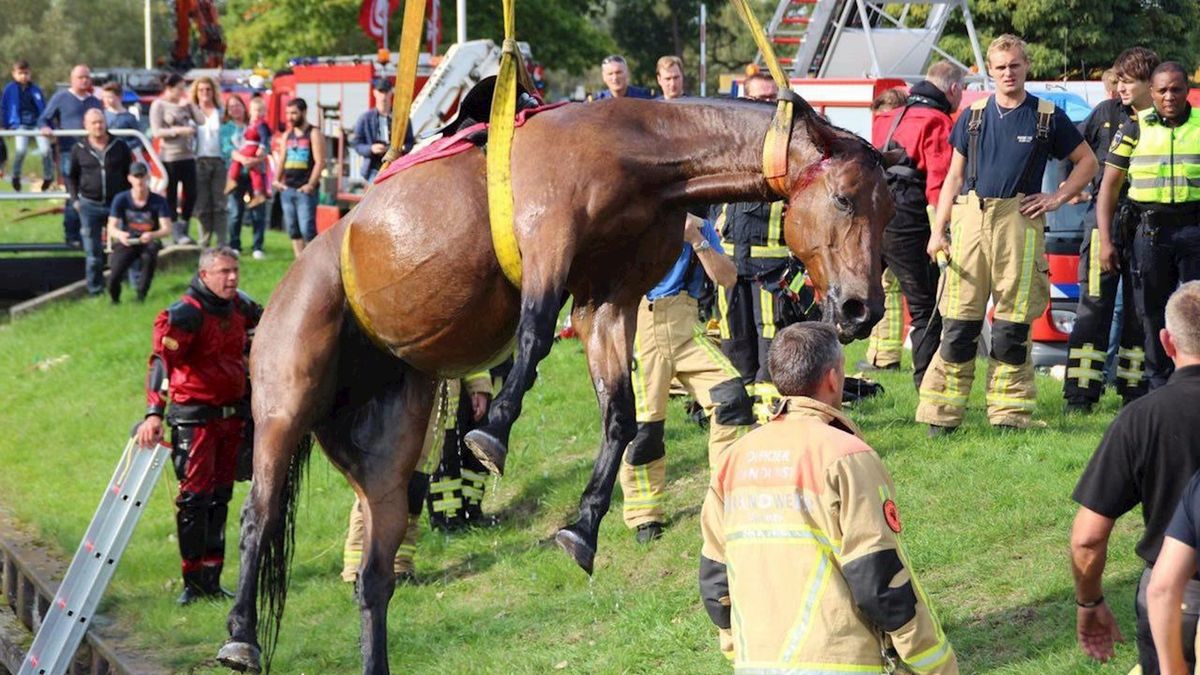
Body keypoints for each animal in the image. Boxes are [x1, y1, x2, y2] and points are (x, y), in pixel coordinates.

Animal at [217, 95, 895, 674]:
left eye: (887, 207)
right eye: (843, 200)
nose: (863, 308)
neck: (633, 147)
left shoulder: (608, 302)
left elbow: (621, 417)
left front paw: (584, 525)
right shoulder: (548, 242)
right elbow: (536, 332)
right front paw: (492, 432)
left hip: (385, 448)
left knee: (375, 574)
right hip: (285, 401)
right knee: (259, 514)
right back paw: (240, 636)